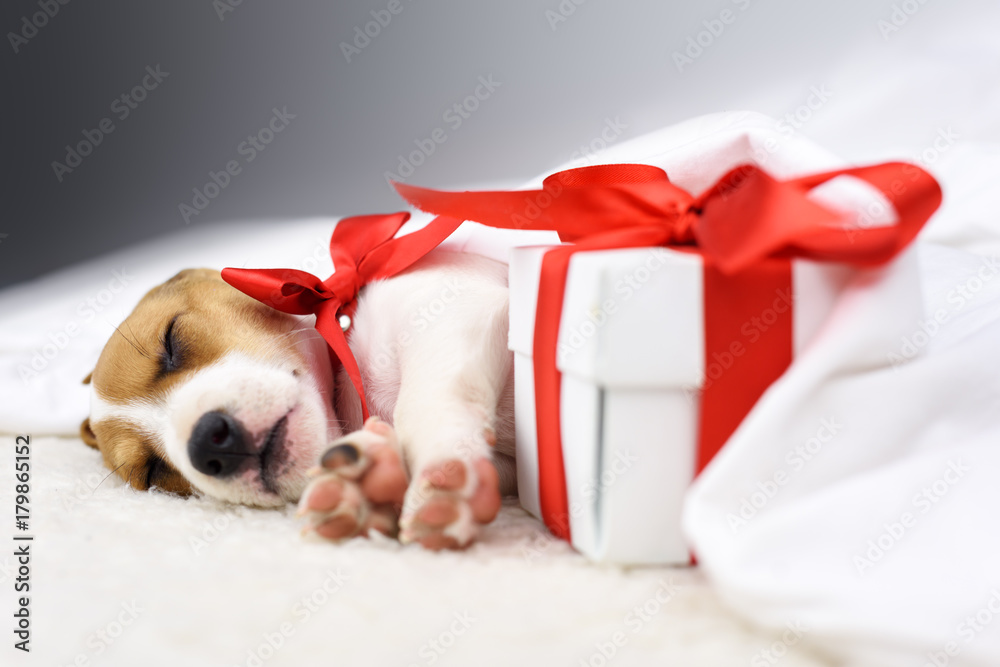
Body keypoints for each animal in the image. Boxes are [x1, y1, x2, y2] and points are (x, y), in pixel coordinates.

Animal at [79, 253, 516, 552]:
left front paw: (442, 470)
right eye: (152, 473)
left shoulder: (450, 305)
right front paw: (367, 484)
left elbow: (423, 401)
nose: (208, 442)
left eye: (171, 341)